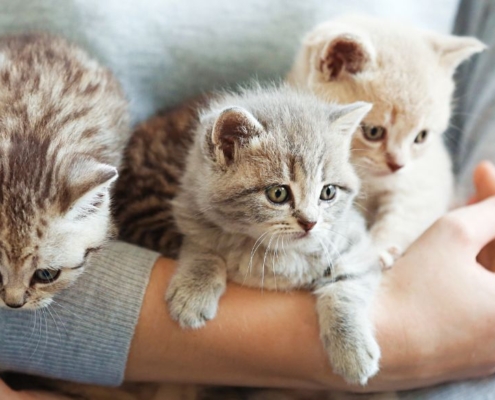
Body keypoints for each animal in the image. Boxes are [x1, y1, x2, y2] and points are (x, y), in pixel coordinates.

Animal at [165, 84, 382, 384]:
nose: (310, 222)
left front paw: (353, 350)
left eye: (328, 192)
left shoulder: (355, 240)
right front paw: (192, 291)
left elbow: (345, 285)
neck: (278, 253)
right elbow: (203, 248)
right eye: (278, 193)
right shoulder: (193, 214)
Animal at [286, 16, 484, 266]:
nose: (397, 165)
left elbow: (404, 215)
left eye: (421, 136)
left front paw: (376, 249)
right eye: (373, 132)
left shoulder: (421, 182)